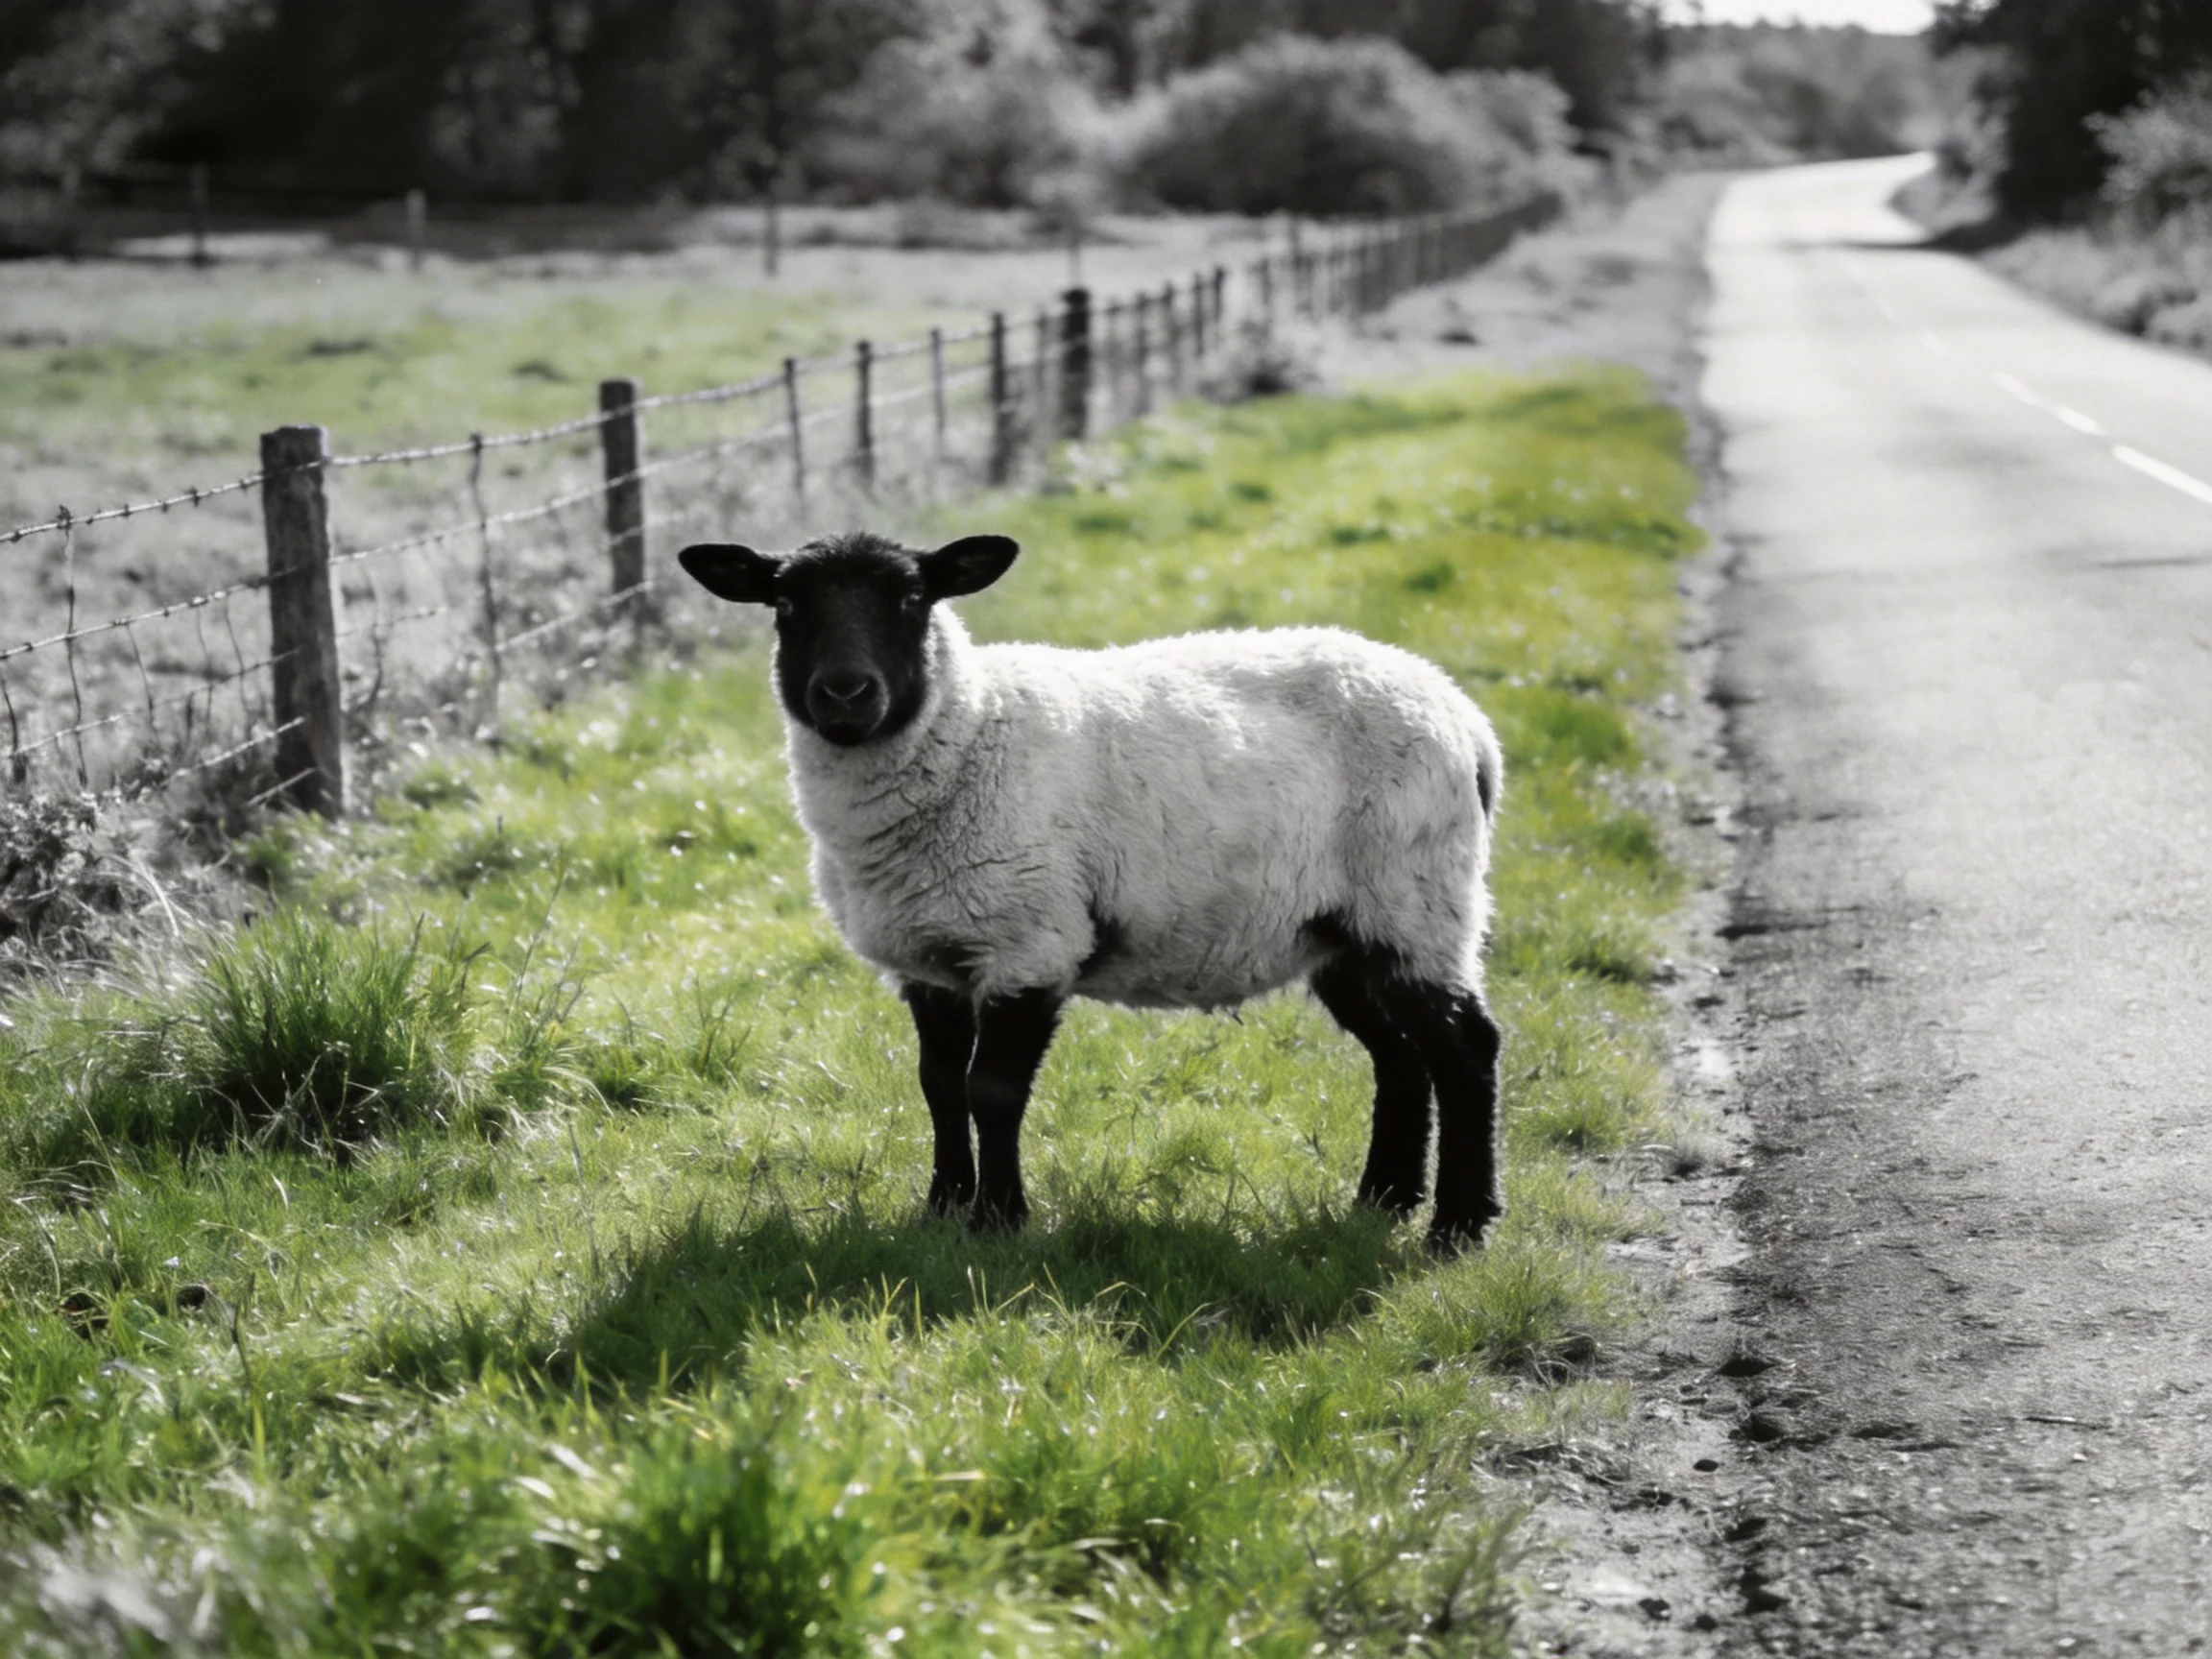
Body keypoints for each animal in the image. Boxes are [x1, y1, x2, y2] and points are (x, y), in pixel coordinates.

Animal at [678, 529, 1506, 1252]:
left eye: (912, 598)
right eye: (786, 604)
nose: (846, 693)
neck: (969, 729)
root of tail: (1467, 721)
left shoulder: (1029, 940)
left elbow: (991, 1090)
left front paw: (998, 1220)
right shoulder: (929, 959)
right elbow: (938, 1085)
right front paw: (942, 1209)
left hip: (1418, 898)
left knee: (1466, 1049)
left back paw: (1458, 1228)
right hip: (1344, 930)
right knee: (1400, 1057)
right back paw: (1383, 1201)